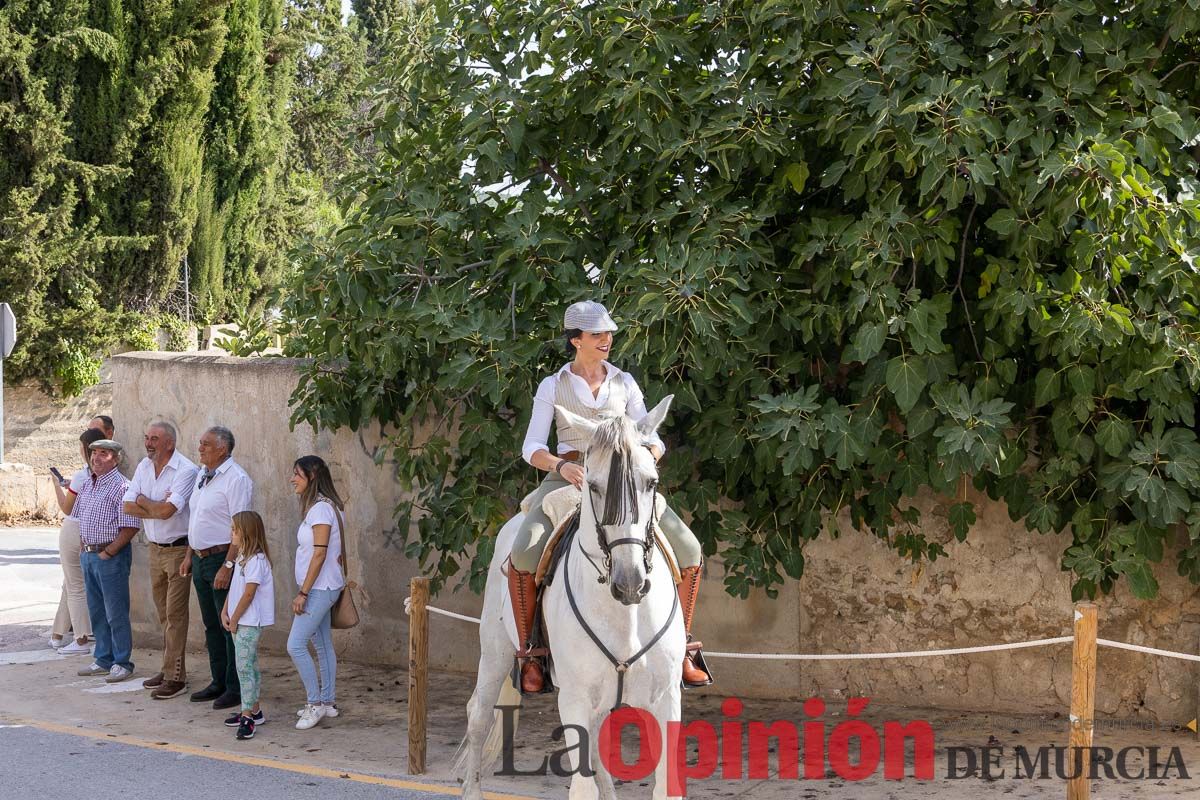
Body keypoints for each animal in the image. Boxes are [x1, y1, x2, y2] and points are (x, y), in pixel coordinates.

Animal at [458, 400, 686, 800]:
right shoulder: (575, 698)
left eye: (651, 483)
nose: (629, 583)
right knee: (480, 714)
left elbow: (663, 784)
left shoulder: (665, 698)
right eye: (593, 486)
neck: (624, 616)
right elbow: (581, 786)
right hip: (496, 651)